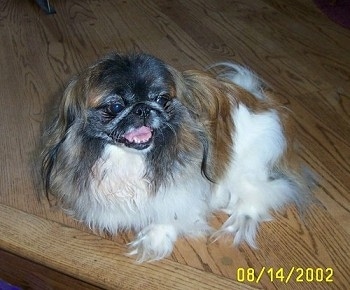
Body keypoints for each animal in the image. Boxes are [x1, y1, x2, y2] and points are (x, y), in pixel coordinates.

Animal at [41, 52, 312, 262]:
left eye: (161, 99)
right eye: (115, 107)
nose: (143, 108)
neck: (129, 158)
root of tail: (263, 101)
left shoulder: (183, 187)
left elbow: (171, 209)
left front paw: (153, 238)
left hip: (247, 169)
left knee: (267, 192)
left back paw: (239, 220)